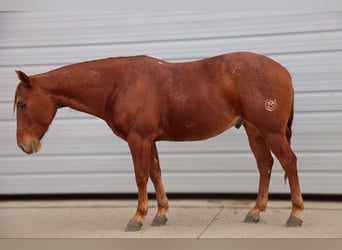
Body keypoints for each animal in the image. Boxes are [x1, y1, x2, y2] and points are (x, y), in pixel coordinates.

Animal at [13, 52, 304, 230]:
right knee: (265, 165)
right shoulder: (149, 139)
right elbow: (155, 172)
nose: (24, 145)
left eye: (23, 104)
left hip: (272, 132)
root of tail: (283, 71)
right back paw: (255, 212)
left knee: (289, 162)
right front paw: (161, 214)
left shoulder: (138, 139)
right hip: (255, 131)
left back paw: (296, 214)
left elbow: (141, 175)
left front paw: (137, 217)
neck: (119, 84)